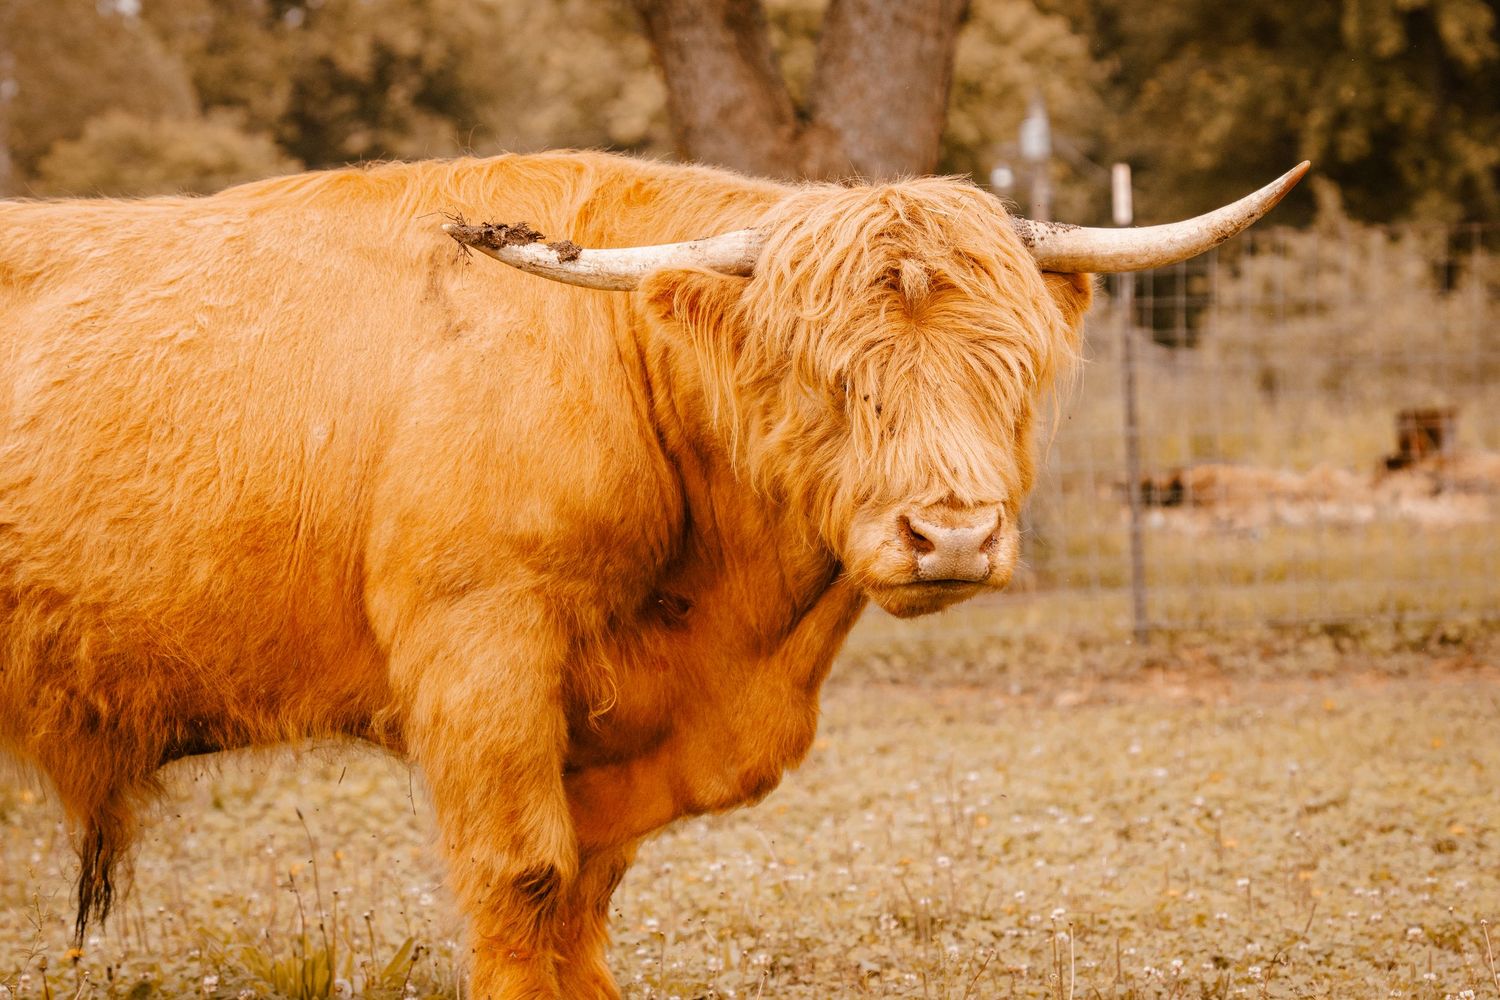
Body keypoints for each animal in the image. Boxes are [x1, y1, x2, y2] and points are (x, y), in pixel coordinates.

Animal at [0, 150, 1304, 998]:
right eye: (829, 373)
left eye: (1010, 366)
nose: (951, 536)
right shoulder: (482, 656)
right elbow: (525, 881)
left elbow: (585, 894)